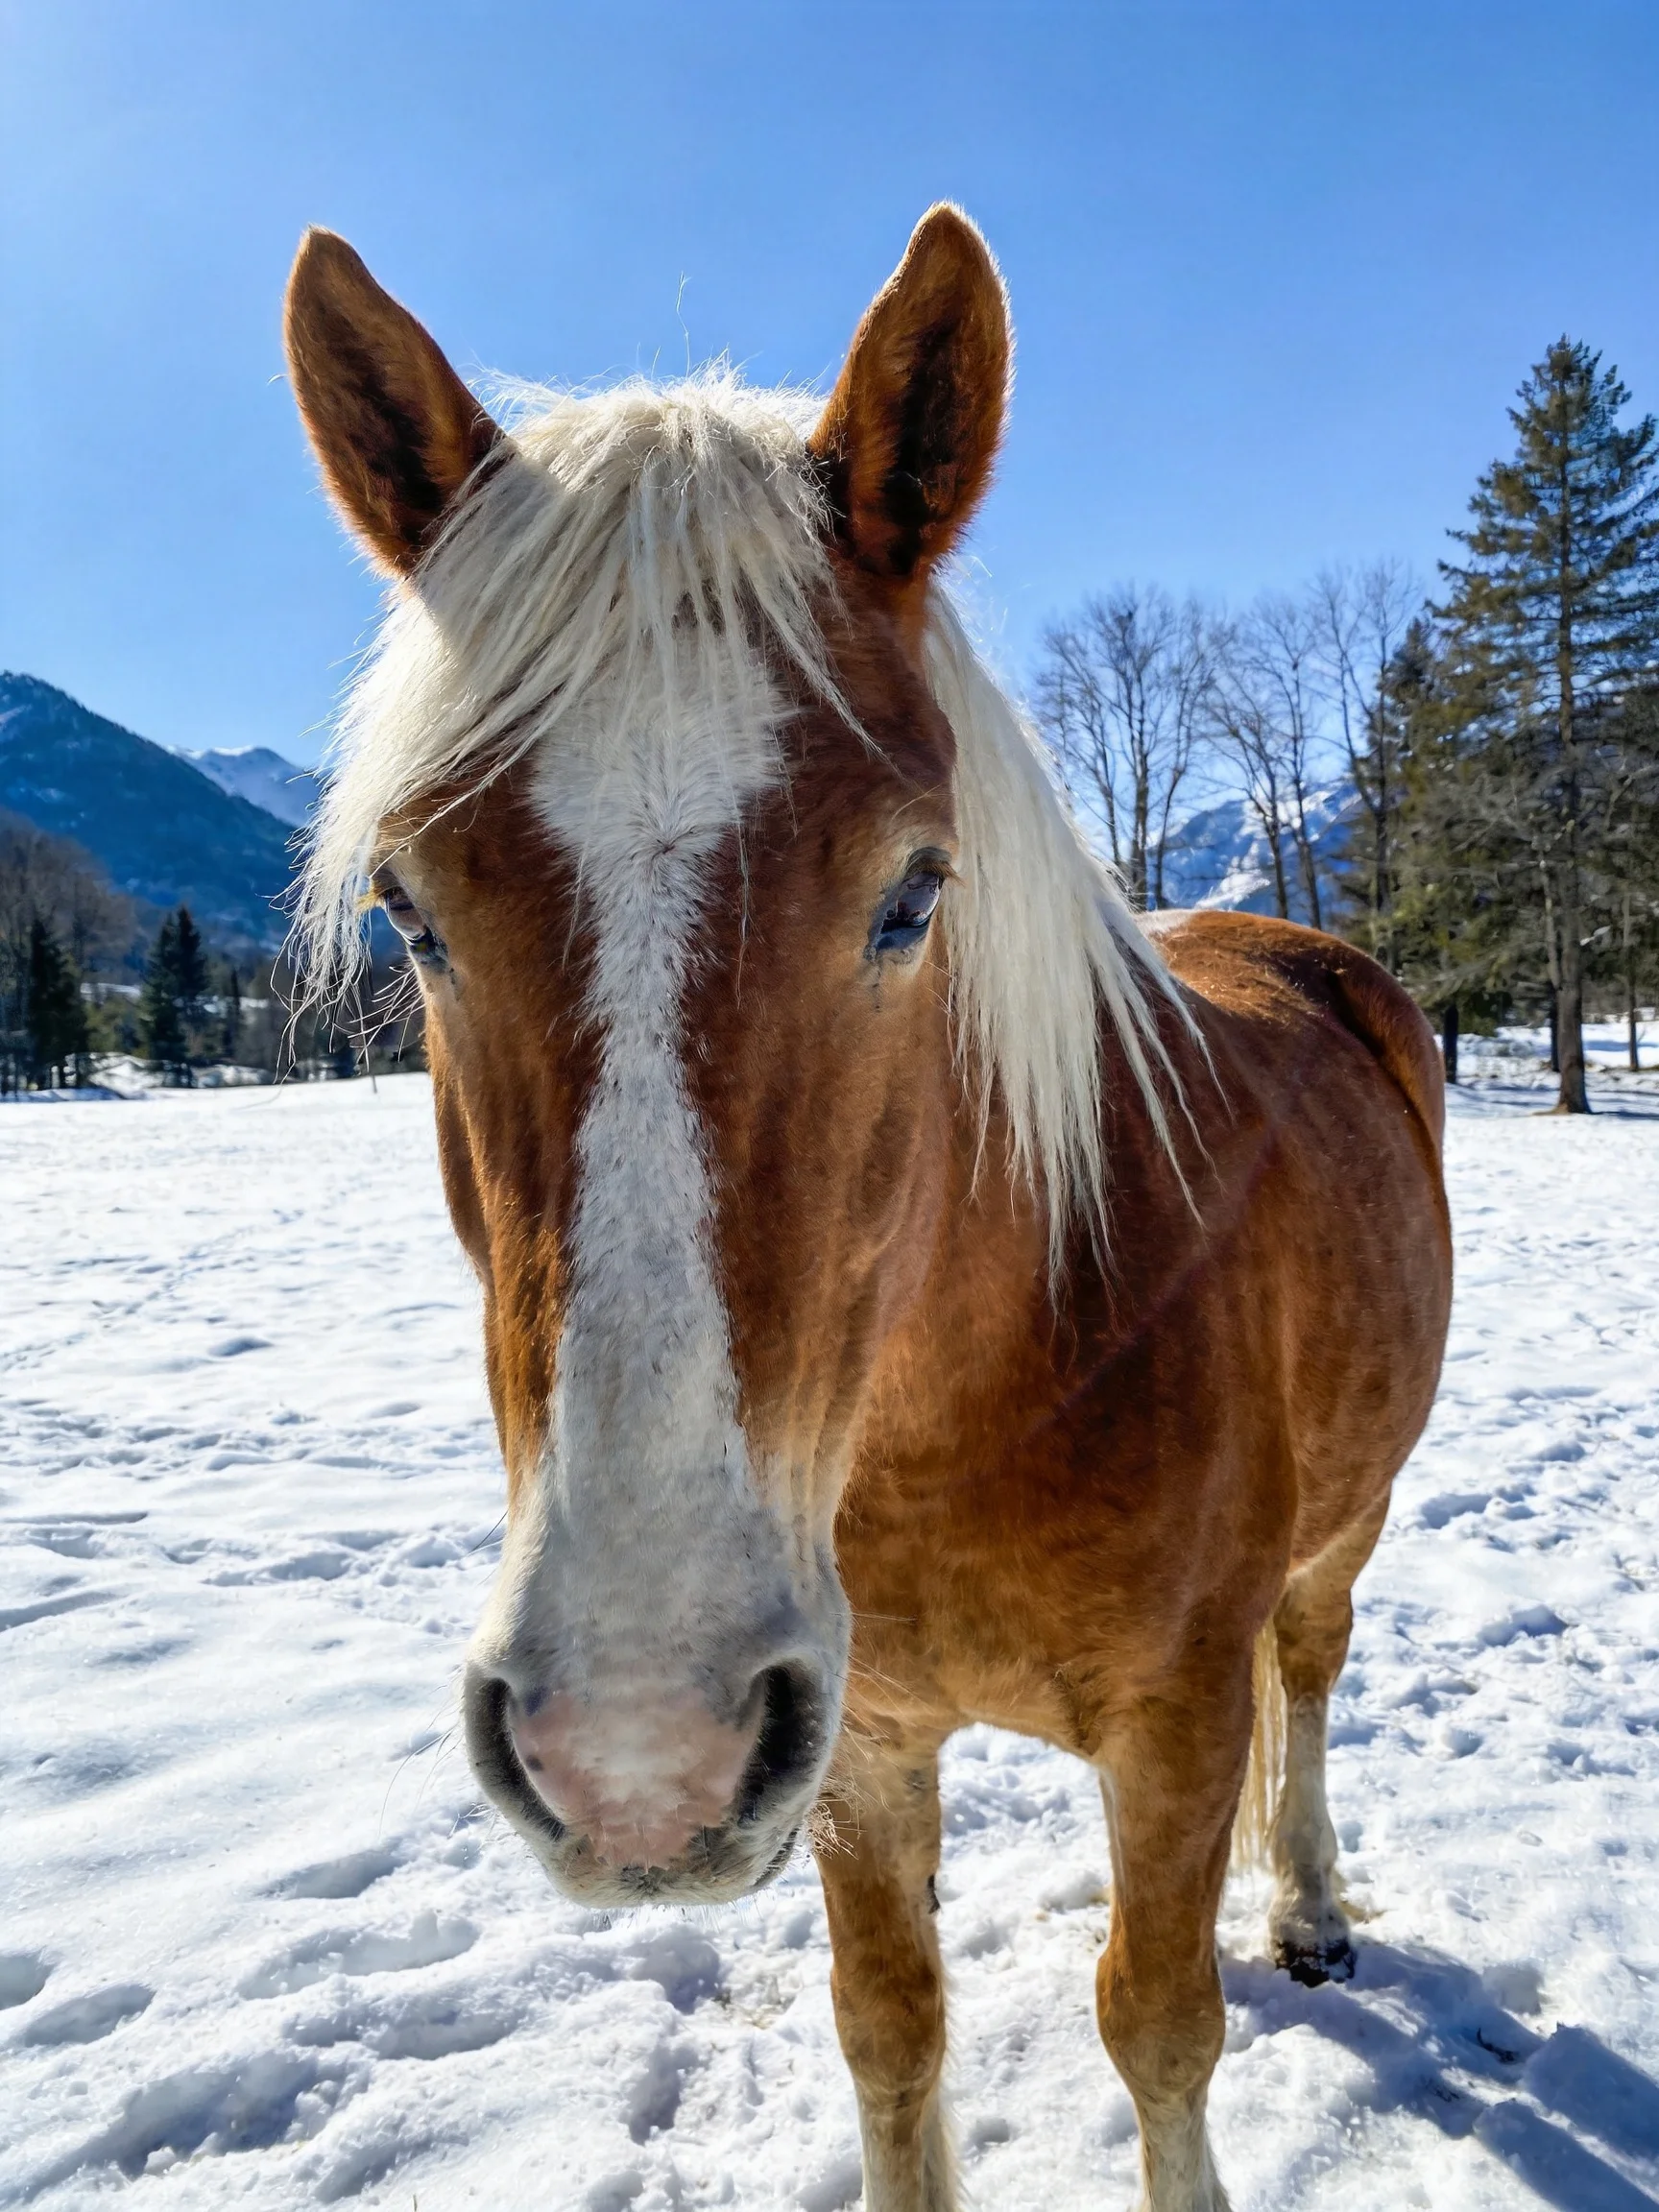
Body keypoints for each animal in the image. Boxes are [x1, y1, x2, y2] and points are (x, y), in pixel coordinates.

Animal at [284, 205, 1451, 2212]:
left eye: (912, 892)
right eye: (408, 910)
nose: (633, 1745)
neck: (986, 1382)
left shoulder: (1171, 1721)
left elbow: (1157, 2024)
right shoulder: (847, 1739)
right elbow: (889, 2031)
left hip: (1339, 1530)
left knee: (1308, 1671)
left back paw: (1301, 1898)